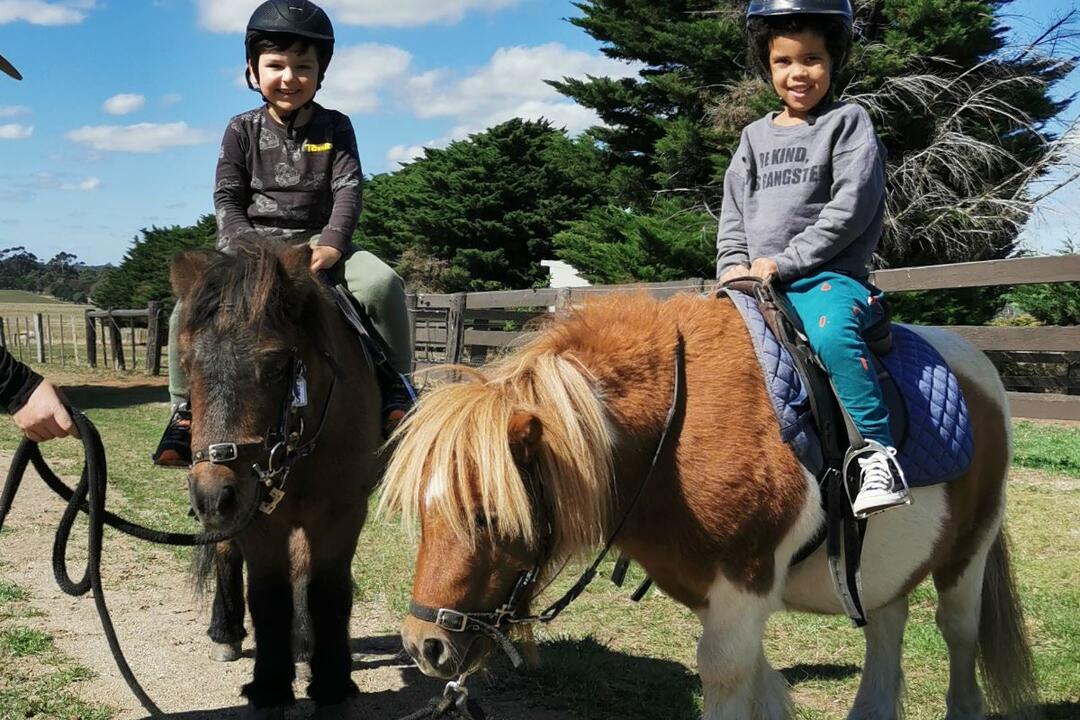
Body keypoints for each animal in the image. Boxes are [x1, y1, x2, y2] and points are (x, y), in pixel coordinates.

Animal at [172, 236, 382, 717]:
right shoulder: (256, 514)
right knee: (226, 551)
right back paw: (226, 632)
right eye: (186, 362)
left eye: (275, 365)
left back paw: (303, 646)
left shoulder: (342, 512)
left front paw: (330, 680)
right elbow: (268, 595)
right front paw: (270, 685)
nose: (213, 495)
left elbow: (326, 589)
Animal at [380, 291, 1037, 720]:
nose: (423, 646)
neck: (671, 436)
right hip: (882, 569)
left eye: (487, 516)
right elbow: (763, 690)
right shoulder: (718, 599)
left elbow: (727, 678)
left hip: (969, 556)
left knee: (958, 634)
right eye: (424, 513)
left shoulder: (741, 593)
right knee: (886, 624)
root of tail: (979, 366)